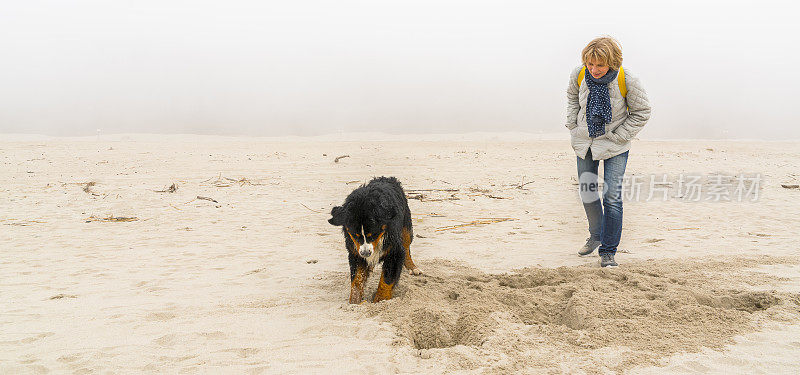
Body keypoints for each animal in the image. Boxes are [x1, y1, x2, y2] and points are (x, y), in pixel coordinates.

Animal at [328, 177, 422, 306]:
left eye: (373, 234)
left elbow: (386, 280)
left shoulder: (394, 251)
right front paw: (355, 302)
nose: (365, 253)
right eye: (355, 235)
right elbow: (357, 281)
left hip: (406, 227)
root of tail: (387, 178)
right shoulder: (355, 253)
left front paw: (380, 301)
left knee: (406, 246)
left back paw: (412, 267)